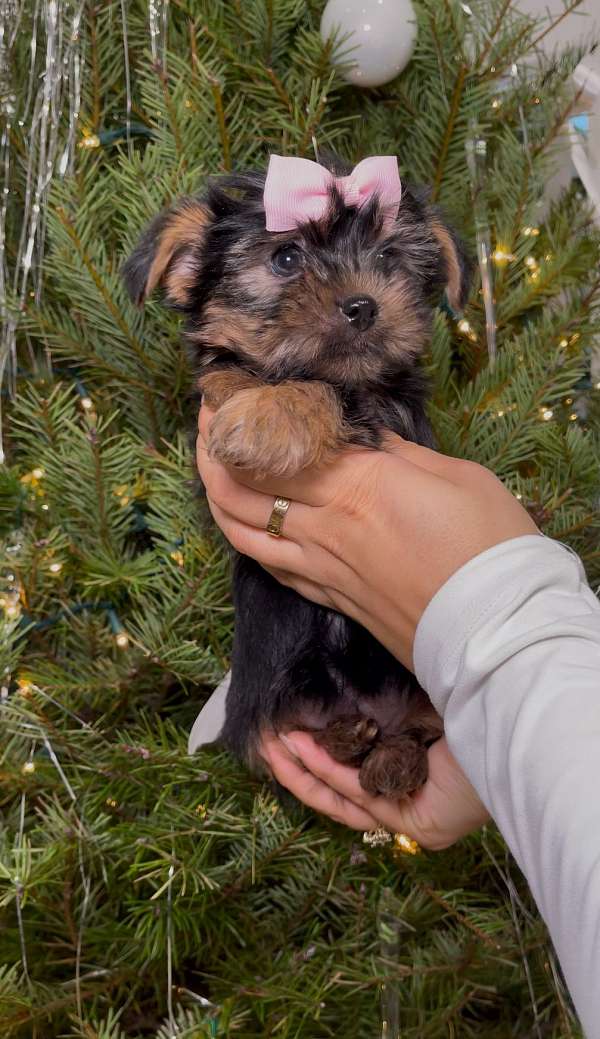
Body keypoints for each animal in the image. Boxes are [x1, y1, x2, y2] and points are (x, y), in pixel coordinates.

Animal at [123, 153, 470, 797]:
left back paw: (393, 758)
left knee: (421, 727)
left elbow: (338, 395)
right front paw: (249, 392)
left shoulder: (393, 414)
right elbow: (233, 371)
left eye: (388, 258)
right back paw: (352, 739)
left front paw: (270, 416)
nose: (364, 305)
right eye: (286, 259)